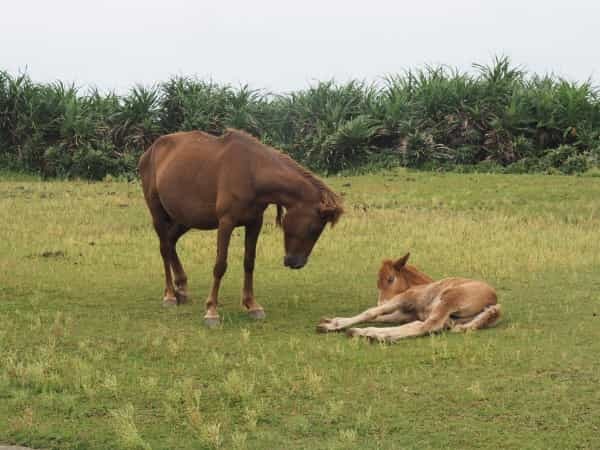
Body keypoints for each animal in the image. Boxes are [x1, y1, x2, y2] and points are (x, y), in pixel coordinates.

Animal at [137, 128, 342, 326]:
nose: (296, 263)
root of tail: (150, 151)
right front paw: (212, 311)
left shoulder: (254, 223)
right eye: (313, 228)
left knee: (171, 241)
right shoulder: (226, 222)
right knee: (165, 248)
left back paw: (181, 287)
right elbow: (220, 265)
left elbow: (249, 262)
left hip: (184, 218)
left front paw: (252, 305)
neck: (251, 172)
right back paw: (170, 295)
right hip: (157, 212)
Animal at [318, 253, 502, 342]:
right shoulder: (406, 313)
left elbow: (371, 312)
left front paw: (332, 324)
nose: (381, 300)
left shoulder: (407, 297)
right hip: (454, 320)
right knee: (422, 325)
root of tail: (495, 304)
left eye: (390, 279)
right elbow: (383, 316)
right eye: (377, 282)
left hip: (448, 299)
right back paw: (373, 334)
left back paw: (367, 334)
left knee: (428, 326)